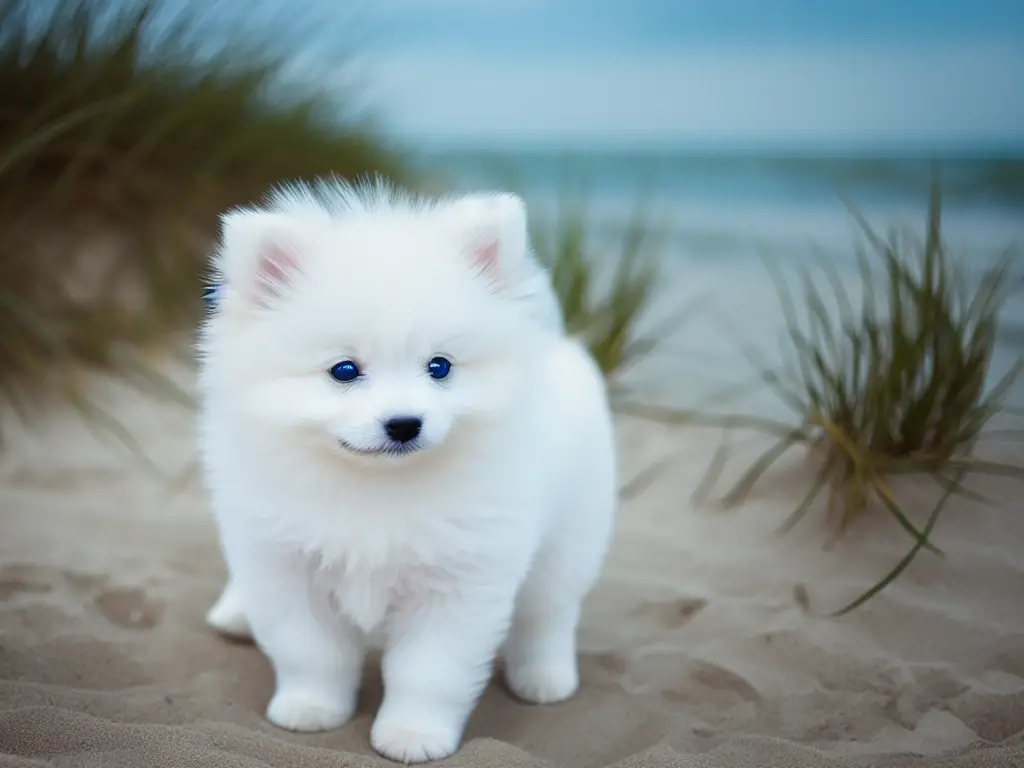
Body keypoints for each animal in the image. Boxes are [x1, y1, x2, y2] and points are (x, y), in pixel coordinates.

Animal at [197, 179, 614, 765]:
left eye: (439, 367)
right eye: (344, 370)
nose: (403, 423)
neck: (374, 484)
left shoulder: (458, 581)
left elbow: (430, 671)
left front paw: (413, 733)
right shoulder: (284, 563)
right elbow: (311, 650)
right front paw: (310, 707)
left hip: (571, 533)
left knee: (548, 610)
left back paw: (543, 677)